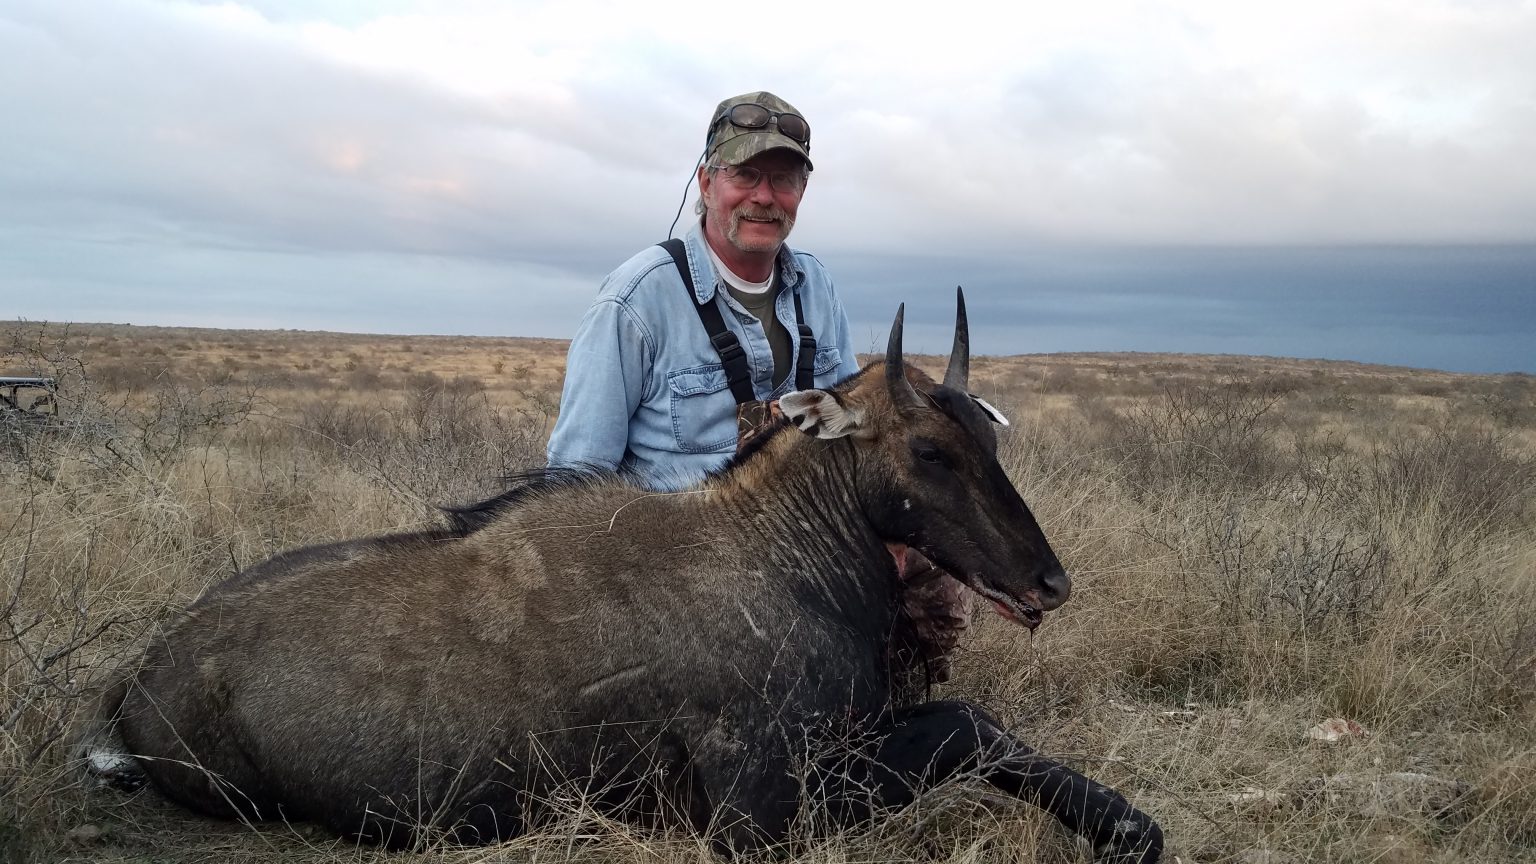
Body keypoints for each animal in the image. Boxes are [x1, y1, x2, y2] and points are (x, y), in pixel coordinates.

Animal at [89, 292, 1155, 854]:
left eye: (987, 438)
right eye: (930, 451)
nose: (1049, 582)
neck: (783, 553)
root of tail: (137, 680)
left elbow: (972, 725)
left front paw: (1126, 823)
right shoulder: (760, 815)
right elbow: (962, 731)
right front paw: (1130, 828)